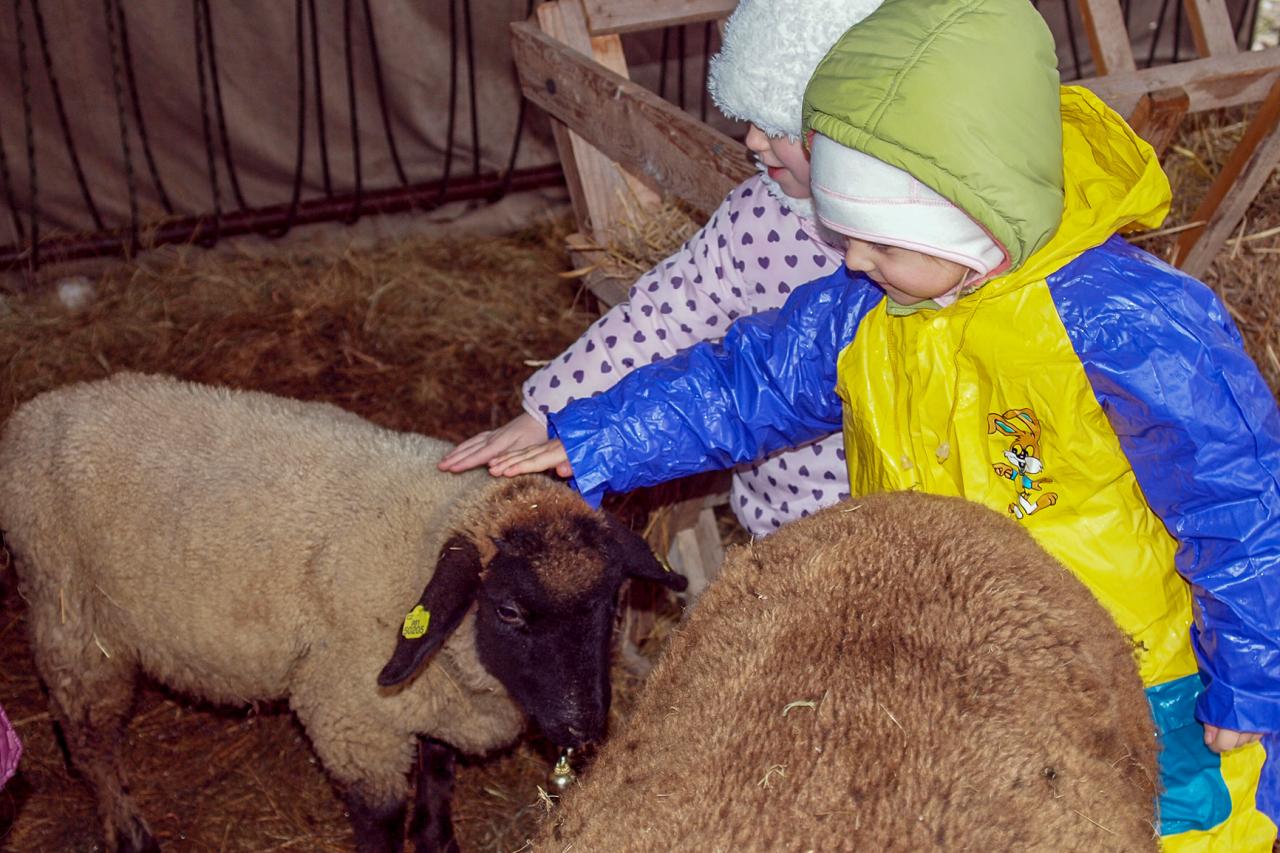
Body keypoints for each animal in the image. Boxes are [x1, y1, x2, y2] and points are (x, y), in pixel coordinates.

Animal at [0, 372, 687, 853]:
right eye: (510, 610)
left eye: (609, 601)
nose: (583, 727)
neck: (425, 533)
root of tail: (33, 414)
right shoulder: (352, 717)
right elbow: (380, 820)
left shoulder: (433, 694)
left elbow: (438, 769)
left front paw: (438, 838)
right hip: (74, 621)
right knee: (89, 743)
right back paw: (128, 829)